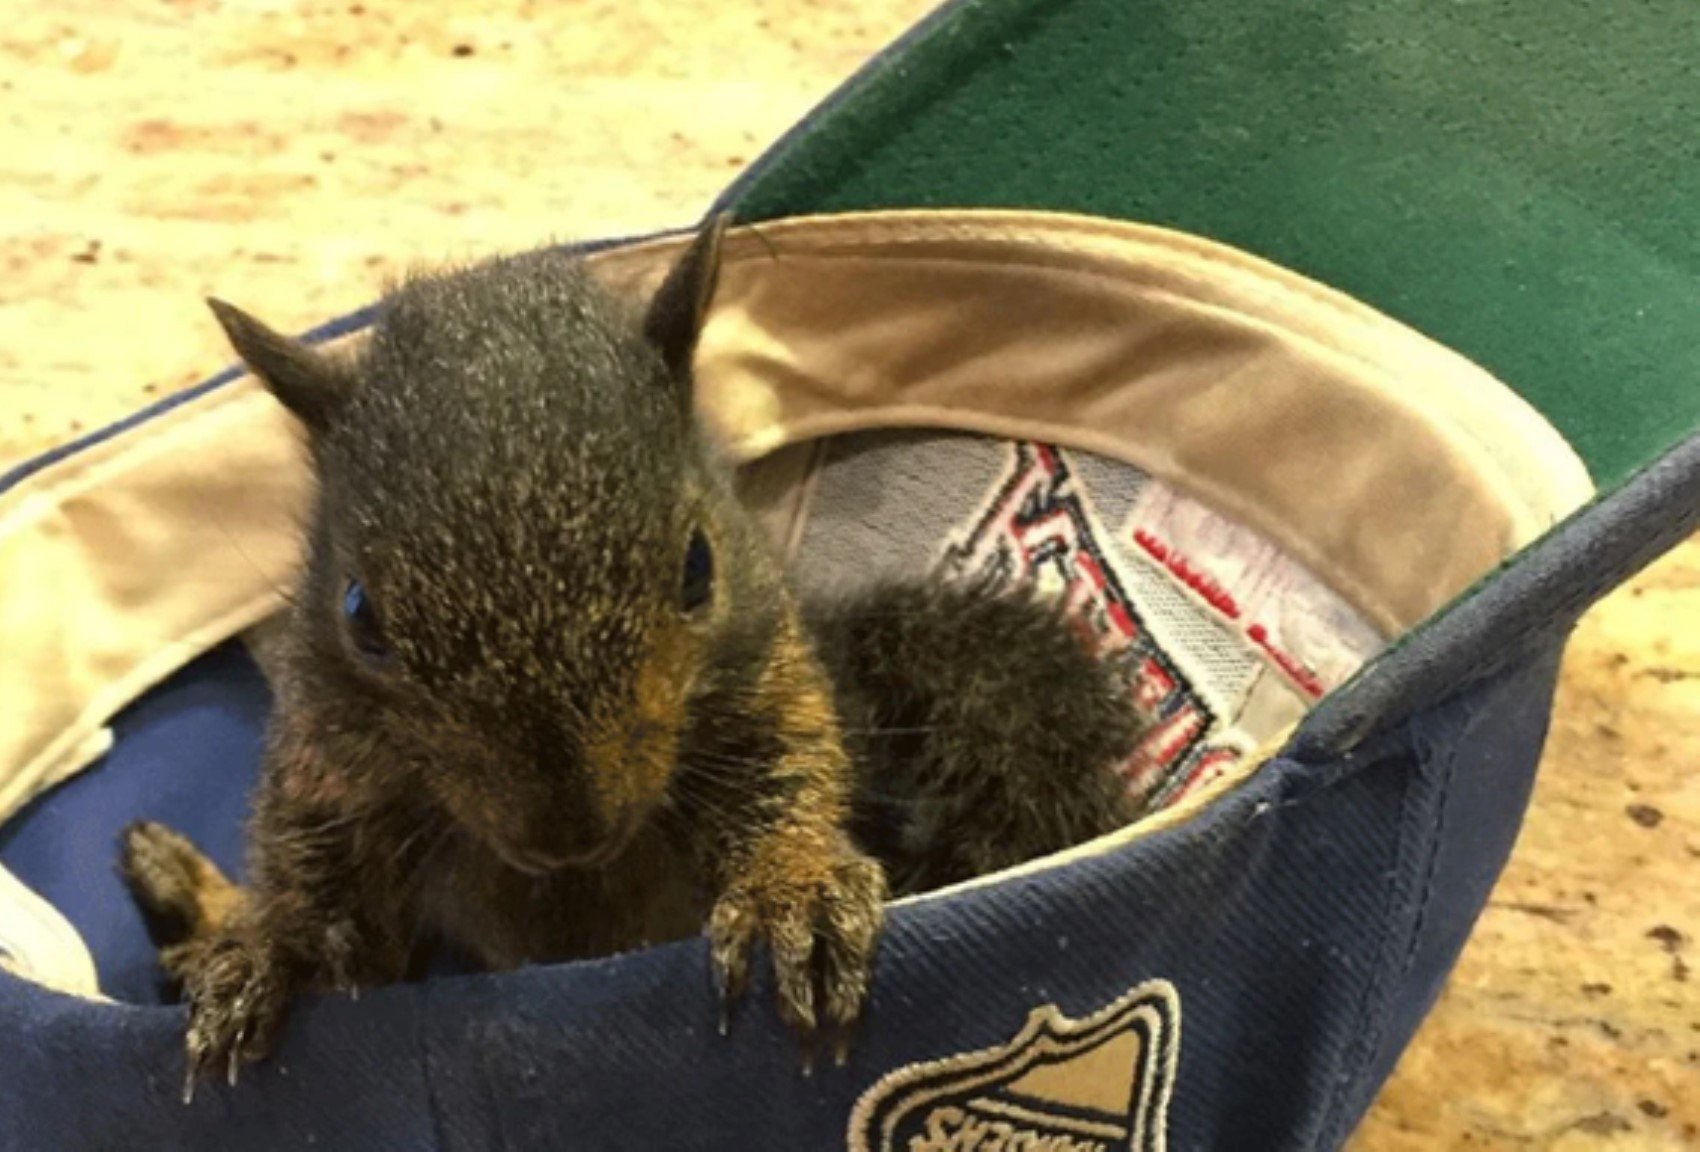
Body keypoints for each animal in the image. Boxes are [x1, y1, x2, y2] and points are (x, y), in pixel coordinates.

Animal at [123, 214, 1142, 1094]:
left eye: (698, 566)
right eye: (359, 614)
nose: (566, 831)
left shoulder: (768, 683)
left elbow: (792, 773)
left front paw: (793, 889)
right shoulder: (327, 761)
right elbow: (327, 902)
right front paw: (271, 945)